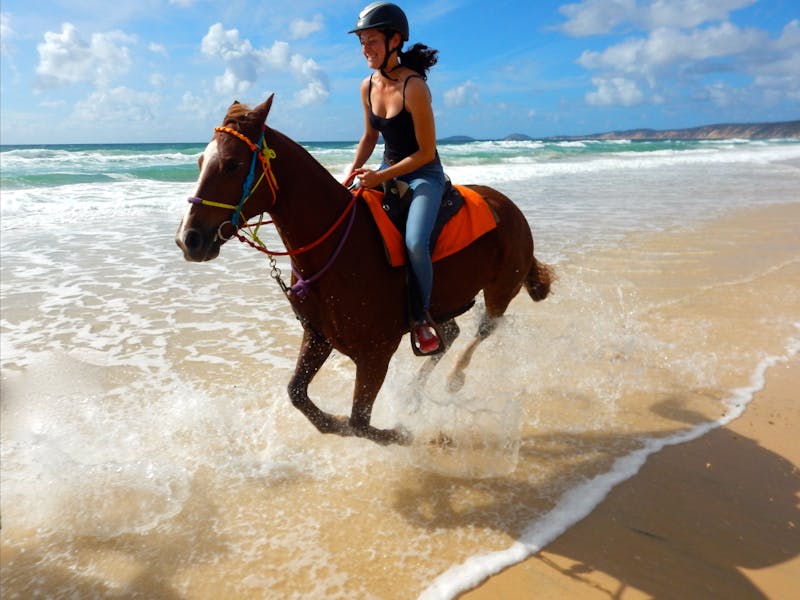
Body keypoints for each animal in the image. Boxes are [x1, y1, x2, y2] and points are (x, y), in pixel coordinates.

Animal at [176, 95, 553, 446]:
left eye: (232, 164)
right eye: (199, 162)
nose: (188, 239)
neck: (339, 245)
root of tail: (508, 206)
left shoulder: (376, 353)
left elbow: (358, 421)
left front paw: (406, 433)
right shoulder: (318, 336)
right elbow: (298, 394)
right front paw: (337, 421)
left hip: (500, 291)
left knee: (483, 330)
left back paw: (453, 380)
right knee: (449, 334)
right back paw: (414, 393)